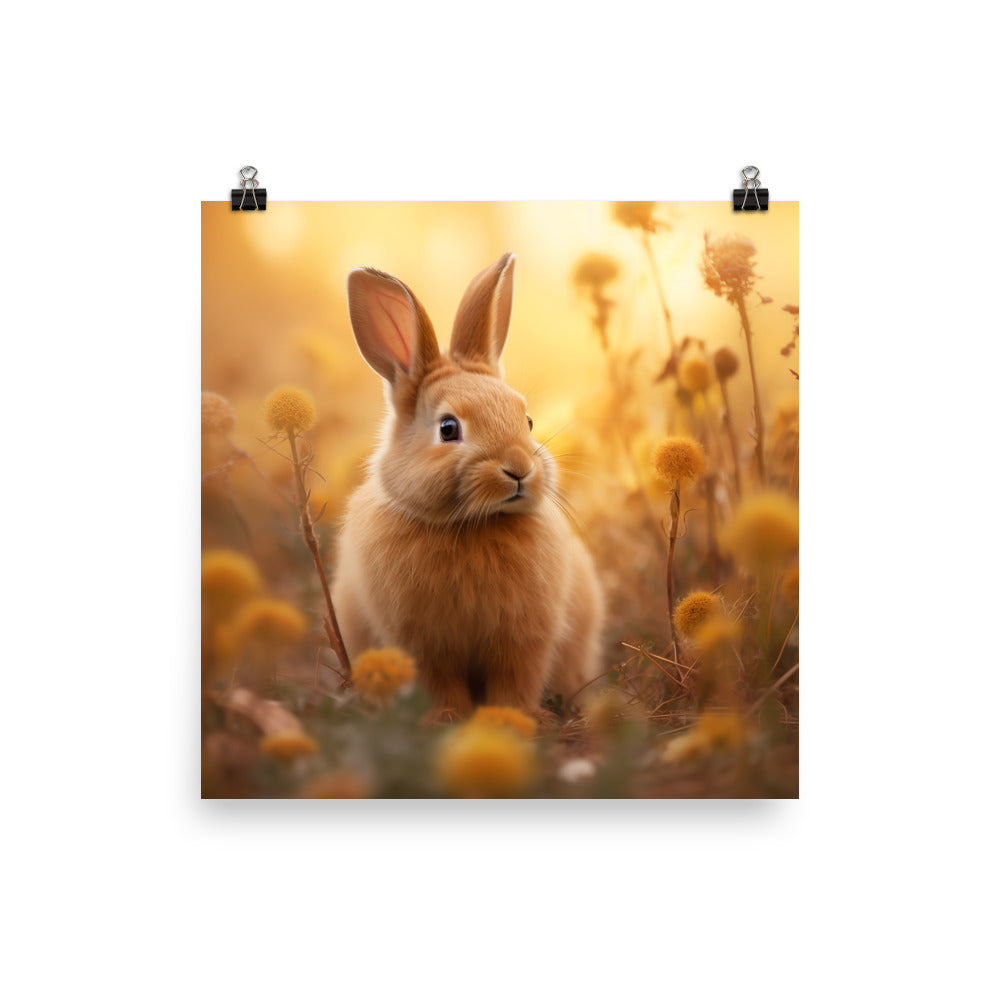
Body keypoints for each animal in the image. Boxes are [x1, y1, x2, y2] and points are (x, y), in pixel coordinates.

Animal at [333, 253, 603, 715]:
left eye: (527, 420)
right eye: (448, 428)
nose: (518, 469)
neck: (473, 524)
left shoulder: (524, 637)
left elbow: (516, 678)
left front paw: (509, 717)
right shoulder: (422, 643)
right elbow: (440, 681)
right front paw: (449, 717)